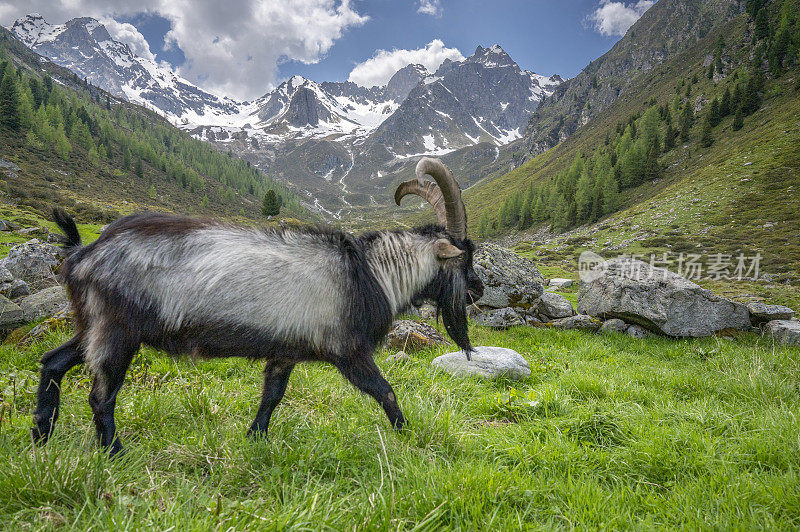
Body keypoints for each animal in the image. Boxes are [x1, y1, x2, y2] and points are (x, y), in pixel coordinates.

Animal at [31, 156, 484, 456]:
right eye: (464, 258)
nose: (478, 290)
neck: (372, 272)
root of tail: (83, 254)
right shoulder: (348, 351)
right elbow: (385, 391)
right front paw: (408, 436)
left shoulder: (285, 352)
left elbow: (272, 396)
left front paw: (255, 438)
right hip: (117, 329)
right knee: (100, 395)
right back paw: (114, 452)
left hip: (92, 325)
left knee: (53, 362)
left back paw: (40, 437)